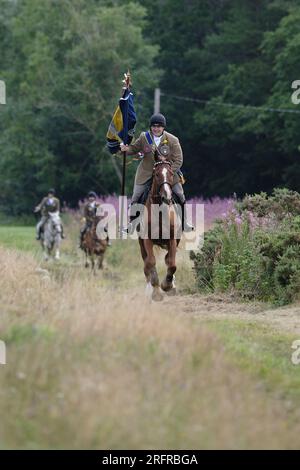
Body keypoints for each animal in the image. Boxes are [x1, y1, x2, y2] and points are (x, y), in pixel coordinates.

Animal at [138, 154, 180, 302]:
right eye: (156, 174)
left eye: (171, 173)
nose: (167, 196)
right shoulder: (147, 240)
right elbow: (151, 263)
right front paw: (156, 292)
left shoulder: (172, 240)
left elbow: (172, 264)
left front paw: (167, 285)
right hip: (141, 244)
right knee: (146, 265)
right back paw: (149, 288)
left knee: (168, 260)